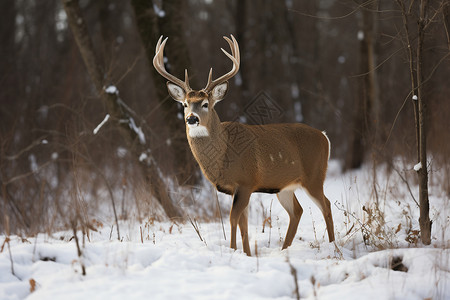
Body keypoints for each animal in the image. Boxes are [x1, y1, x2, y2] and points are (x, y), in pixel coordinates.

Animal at [154, 34, 334, 255]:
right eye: (185, 104)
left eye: (205, 104)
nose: (191, 119)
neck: (222, 155)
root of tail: (324, 136)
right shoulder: (236, 189)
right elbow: (243, 223)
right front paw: (247, 253)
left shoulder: (246, 181)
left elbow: (233, 219)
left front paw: (233, 250)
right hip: (284, 186)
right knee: (297, 211)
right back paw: (285, 249)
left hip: (315, 176)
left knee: (326, 205)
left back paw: (333, 245)